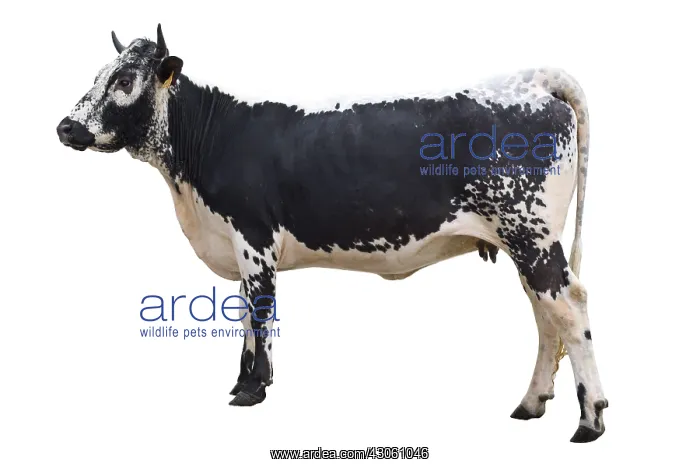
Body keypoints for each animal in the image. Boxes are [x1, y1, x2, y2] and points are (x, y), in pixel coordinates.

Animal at [56, 25, 607, 443]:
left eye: (124, 79)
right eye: (98, 74)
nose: (65, 127)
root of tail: (532, 80)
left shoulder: (254, 239)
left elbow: (261, 313)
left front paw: (253, 390)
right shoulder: (237, 246)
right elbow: (245, 317)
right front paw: (242, 381)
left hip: (531, 235)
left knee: (569, 307)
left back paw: (590, 419)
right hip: (524, 241)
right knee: (544, 314)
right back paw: (531, 403)